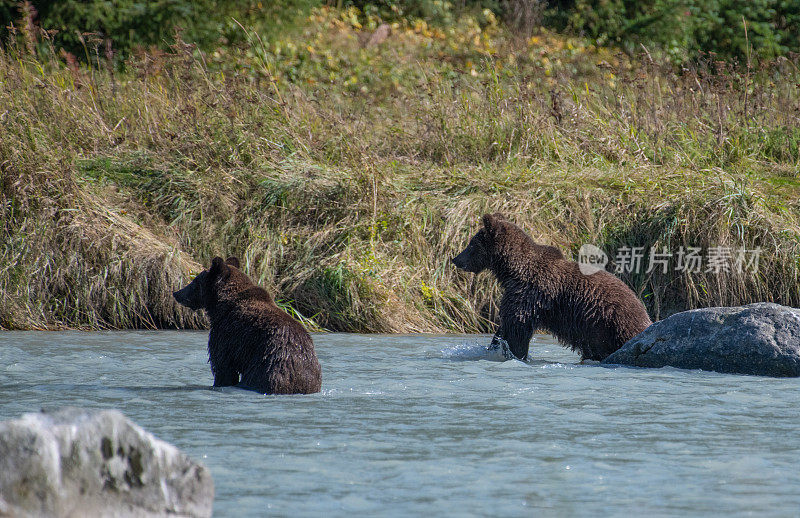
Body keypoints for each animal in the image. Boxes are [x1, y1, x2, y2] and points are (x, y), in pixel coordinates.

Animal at [173, 258, 322, 396]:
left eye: (195, 281)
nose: (177, 293)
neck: (220, 305)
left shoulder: (226, 334)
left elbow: (223, 365)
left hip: (269, 367)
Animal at [454, 213, 652, 364]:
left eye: (471, 244)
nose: (456, 259)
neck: (511, 271)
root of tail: (643, 309)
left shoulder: (529, 295)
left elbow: (517, 328)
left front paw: (514, 354)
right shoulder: (519, 295)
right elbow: (505, 326)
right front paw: (494, 346)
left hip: (614, 322)